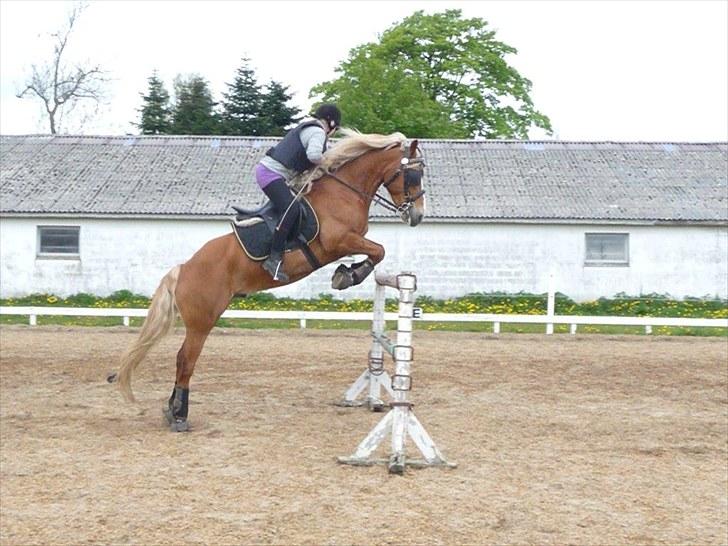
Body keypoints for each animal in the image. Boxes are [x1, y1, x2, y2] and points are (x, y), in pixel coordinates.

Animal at [113, 130, 426, 432]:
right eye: (414, 174)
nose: (417, 215)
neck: (345, 190)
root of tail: (183, 269)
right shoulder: (340, 241)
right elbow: (378, 250)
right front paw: (349, 275)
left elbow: (377, 251)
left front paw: (346, 273)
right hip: (202, 322)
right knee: (185, 359)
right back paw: (179, 416)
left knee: (182, 360)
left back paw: (171, 411)